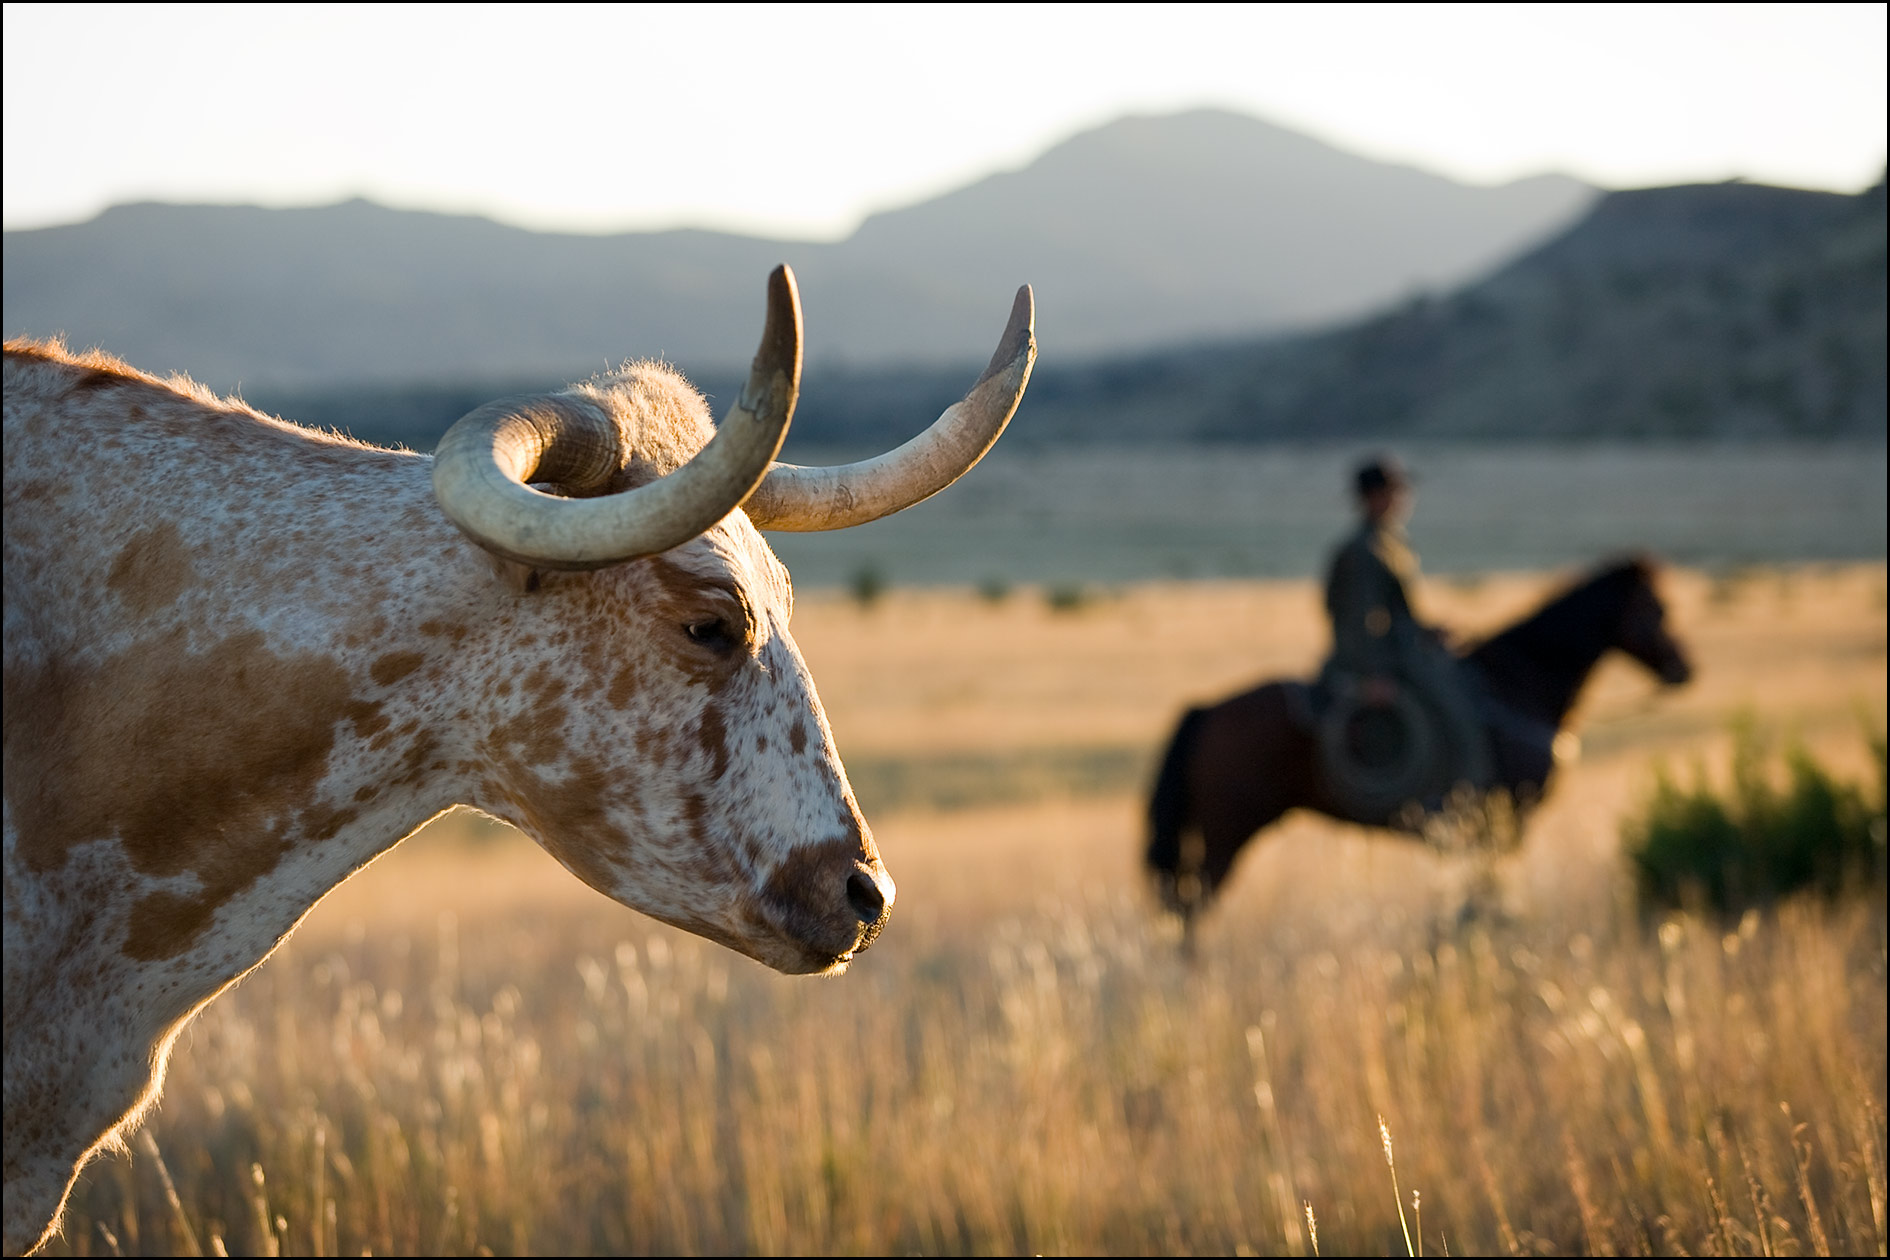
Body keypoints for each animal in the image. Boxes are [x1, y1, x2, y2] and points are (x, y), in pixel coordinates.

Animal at [1141, 555, 1693, 933]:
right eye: (1659, 609)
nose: (1684, 670)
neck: (1520, 682)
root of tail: (1206, 708)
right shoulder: (1508, 818)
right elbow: (1489, 892)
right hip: (1228, 829)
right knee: (1190, 904)